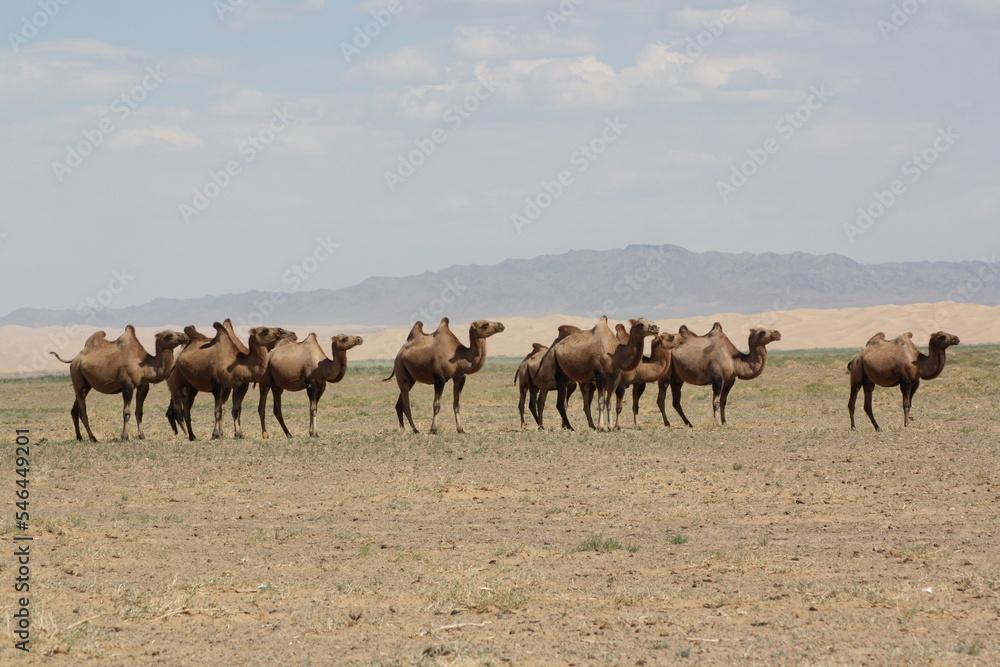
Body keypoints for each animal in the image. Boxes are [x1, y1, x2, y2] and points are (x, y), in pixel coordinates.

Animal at [51, 326, 189, 442]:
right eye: (169, 335)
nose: (185, 336)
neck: (144, 365)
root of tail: (74, 359)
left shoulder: (143, 386)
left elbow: (139, 411)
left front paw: (142, 436)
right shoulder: (127, 385)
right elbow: (126, 413)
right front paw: (124, 437)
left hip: (83, 383)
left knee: (75, 410)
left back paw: (79, 437)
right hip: (77, 376)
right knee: (83, 411)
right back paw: (93, 438)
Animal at [166, 319, 296, 440]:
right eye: (265, 331)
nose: (285, 331)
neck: (238, 364)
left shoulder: (239, 385)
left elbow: (235, 410)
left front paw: (239, 434)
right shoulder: (217, 386)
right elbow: (217, 411)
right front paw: (215, 435)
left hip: (195, 387)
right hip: (182, 382)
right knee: (185, 409)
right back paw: (192, 436)